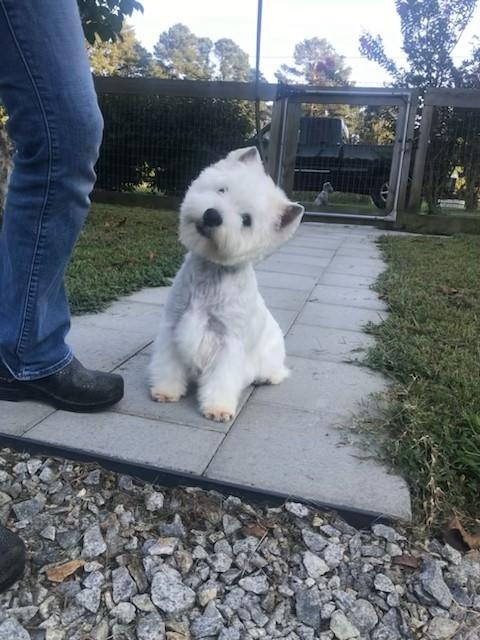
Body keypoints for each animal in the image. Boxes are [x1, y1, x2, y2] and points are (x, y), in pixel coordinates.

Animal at [148, 146, 304, 423]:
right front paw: (166, 390)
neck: (210, 272)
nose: (212, 215)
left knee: (277, 370)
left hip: (271, 354)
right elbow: (168, 362)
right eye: (222, 190)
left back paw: (267, 377)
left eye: (246, 220)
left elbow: (222, 378)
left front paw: (218, 408)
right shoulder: (173, 324)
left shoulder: (228, 341)